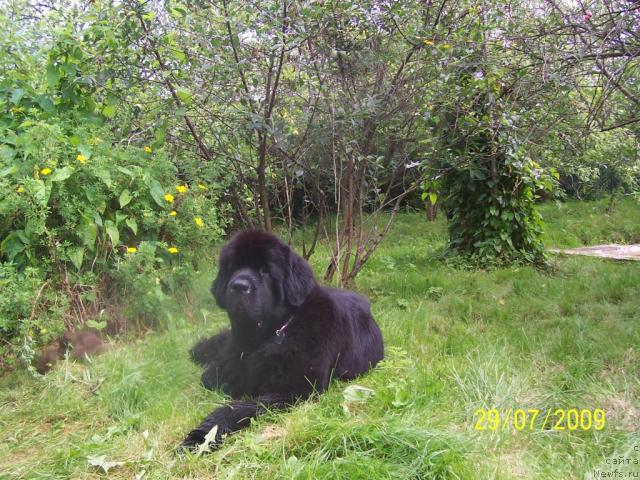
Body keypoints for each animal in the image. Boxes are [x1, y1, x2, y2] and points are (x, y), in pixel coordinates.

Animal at [178, 231, 382, 452]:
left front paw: (199, 437)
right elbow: (211, 378)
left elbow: (237, 407)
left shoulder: (296, 390)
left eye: (265, 271)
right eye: (233, 268)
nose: (239, 286)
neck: (269, 335)